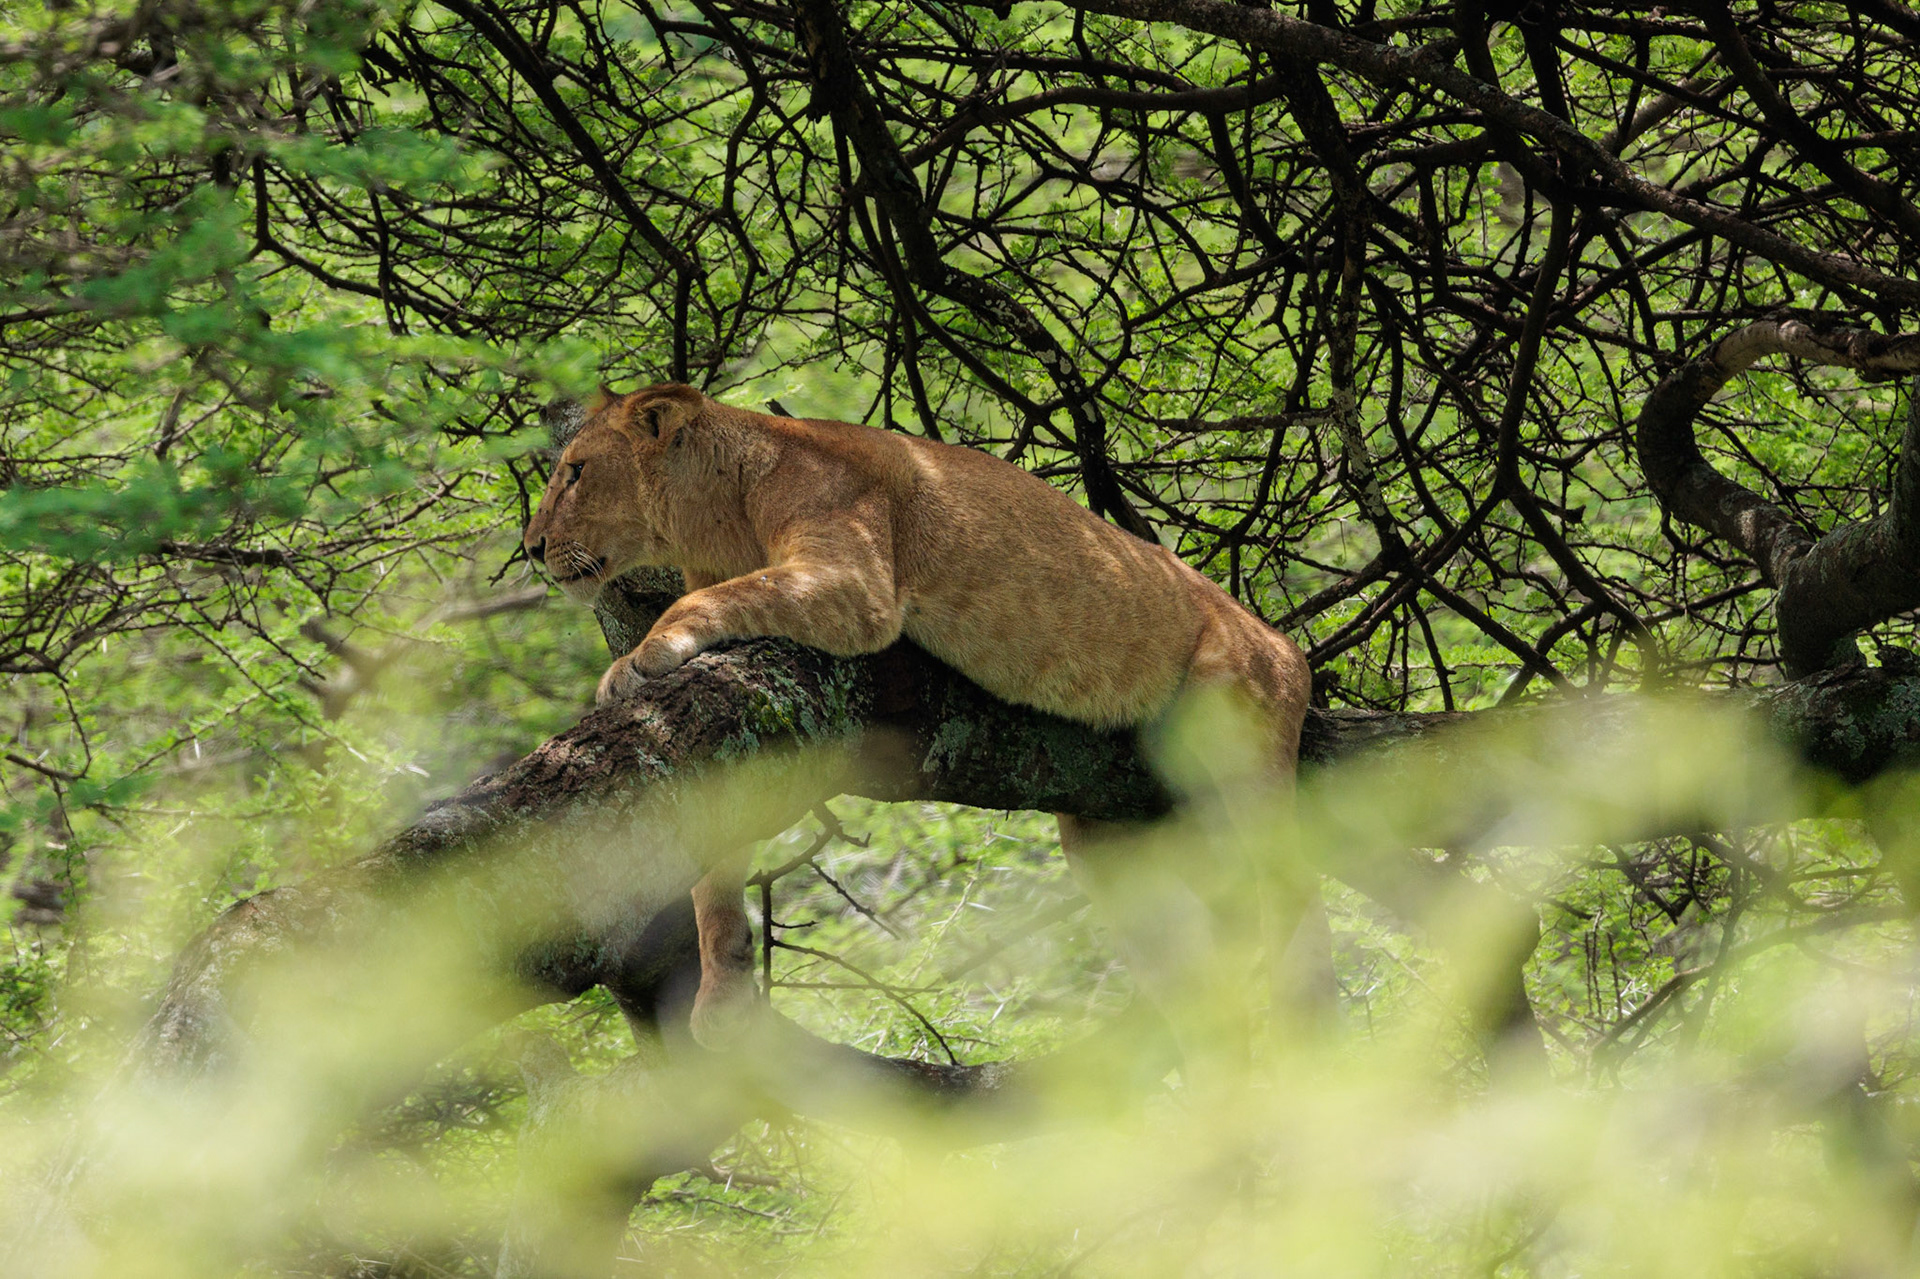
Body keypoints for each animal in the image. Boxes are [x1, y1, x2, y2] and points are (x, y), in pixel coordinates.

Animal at [523, 383, 1312, 1049]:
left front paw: (638, 659)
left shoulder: (853, 580)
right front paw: (723, 991)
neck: (712, 521)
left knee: (1285, 900)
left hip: (1236, 723)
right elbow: (714, 866)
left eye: (576, 473)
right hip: (1102, 837)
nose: (530, 548)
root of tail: (1289, 649)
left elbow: (698, 603)